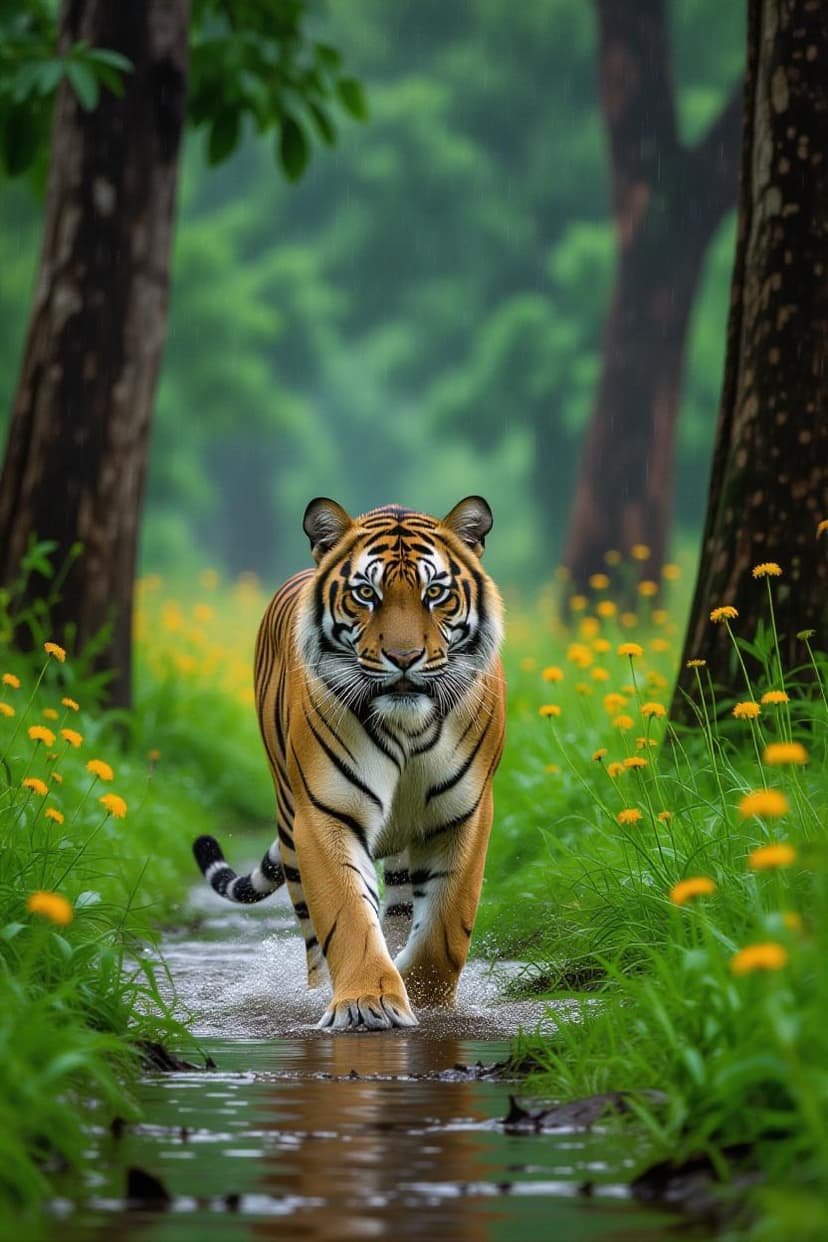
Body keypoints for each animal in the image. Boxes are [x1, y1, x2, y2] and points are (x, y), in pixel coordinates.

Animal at [193, 496, 506, 1030]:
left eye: (435, 593)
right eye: (366, 593)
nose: (405, 657)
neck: (408, 727)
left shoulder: (464, 814)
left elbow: (446, 928)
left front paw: (424, 998)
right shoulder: (325, 813)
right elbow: (349, 917)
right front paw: (367, 1003)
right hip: (290, 826)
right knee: (316, 937)